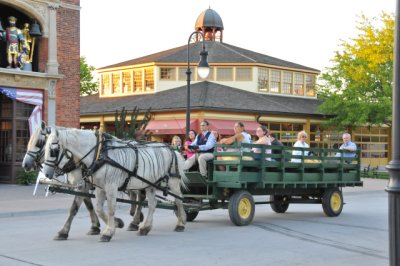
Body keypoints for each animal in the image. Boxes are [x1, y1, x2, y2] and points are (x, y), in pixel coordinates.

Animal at [41, 128, 188, 242]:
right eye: (44, 149)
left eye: (53, 150)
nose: (46, 174)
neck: (99, 154)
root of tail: (171, 149)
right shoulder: (99, 188)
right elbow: (98, 209)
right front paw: (116, 223)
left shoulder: (111, 187)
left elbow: (111, 208)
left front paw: (108, 232)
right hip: (151, 185)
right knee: (152, 204)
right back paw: (145, 228)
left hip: (172, 182)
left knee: (179, 201)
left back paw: (181, 223)